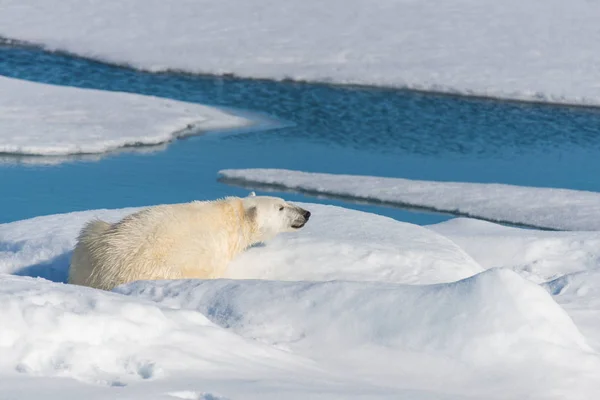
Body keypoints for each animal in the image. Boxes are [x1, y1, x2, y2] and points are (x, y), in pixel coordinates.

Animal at [68, 194, 312, 290]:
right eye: (281, 208)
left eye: (284, 201)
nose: (306, 213)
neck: (232, 217)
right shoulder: (214, 255)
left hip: (91, 240)